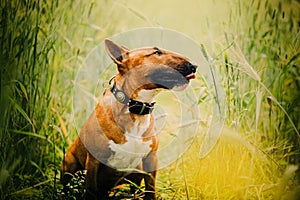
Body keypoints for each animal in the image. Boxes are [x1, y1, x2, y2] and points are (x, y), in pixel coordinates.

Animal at [60, 38, 197, 198]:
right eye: (156, 52)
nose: (194, 65)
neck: (135, 110)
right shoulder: (93, 161)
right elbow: (90, 191)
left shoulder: (151, 159)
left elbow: (150, 190)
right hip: (69, 165)